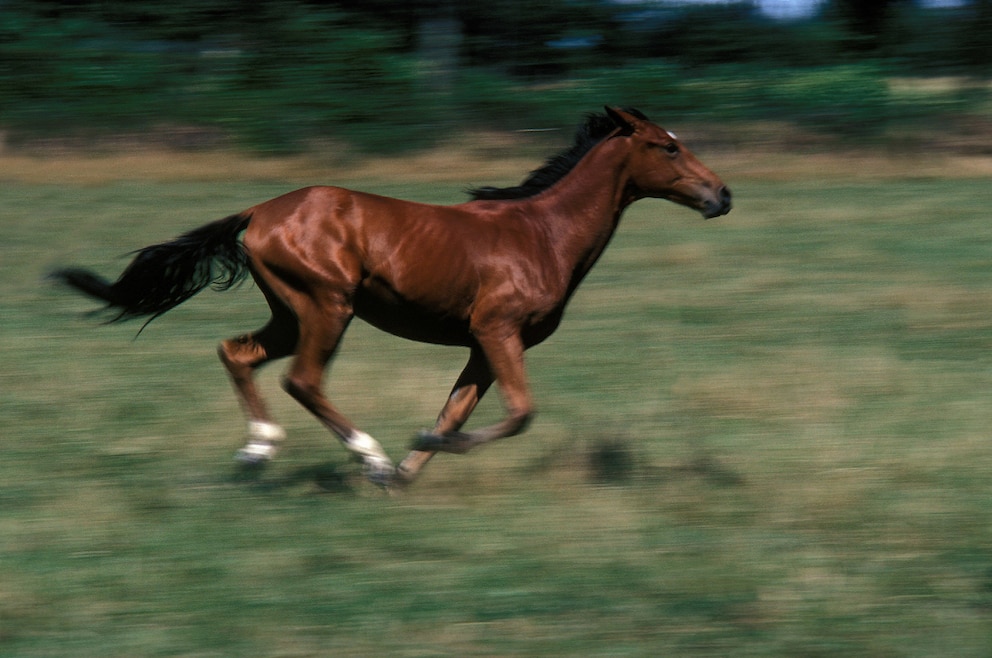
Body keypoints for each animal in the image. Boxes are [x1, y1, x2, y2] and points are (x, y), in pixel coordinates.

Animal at [56, 107, 736, 484]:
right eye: (667, 145)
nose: (722, 194)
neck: (543, 233)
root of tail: (258, 212)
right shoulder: (498, 331)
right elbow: (520, 412)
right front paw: (407, 458)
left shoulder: (480, 347)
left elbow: (456, 410)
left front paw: (412, 468)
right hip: (327, 307)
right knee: (301, 380)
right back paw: (368, 456)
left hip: (289, 312)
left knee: (237, 352)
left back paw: (259, 450)